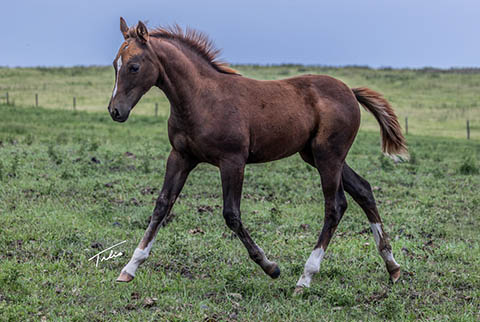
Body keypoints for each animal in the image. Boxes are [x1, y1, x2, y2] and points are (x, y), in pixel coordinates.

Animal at [109, 18, 408, 294]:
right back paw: (392, 267)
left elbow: (231, 214)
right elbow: (162, 205)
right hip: (316, 155)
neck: (201, 99)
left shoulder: (232, 161)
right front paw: (130, 267)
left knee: (334, 206)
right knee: (363, 190)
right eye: (115, 64)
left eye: (134, 66)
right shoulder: (181, 156)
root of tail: (350, 92)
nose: (115, 111)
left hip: (329, 156)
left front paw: (270, 266)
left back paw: (305, 277)